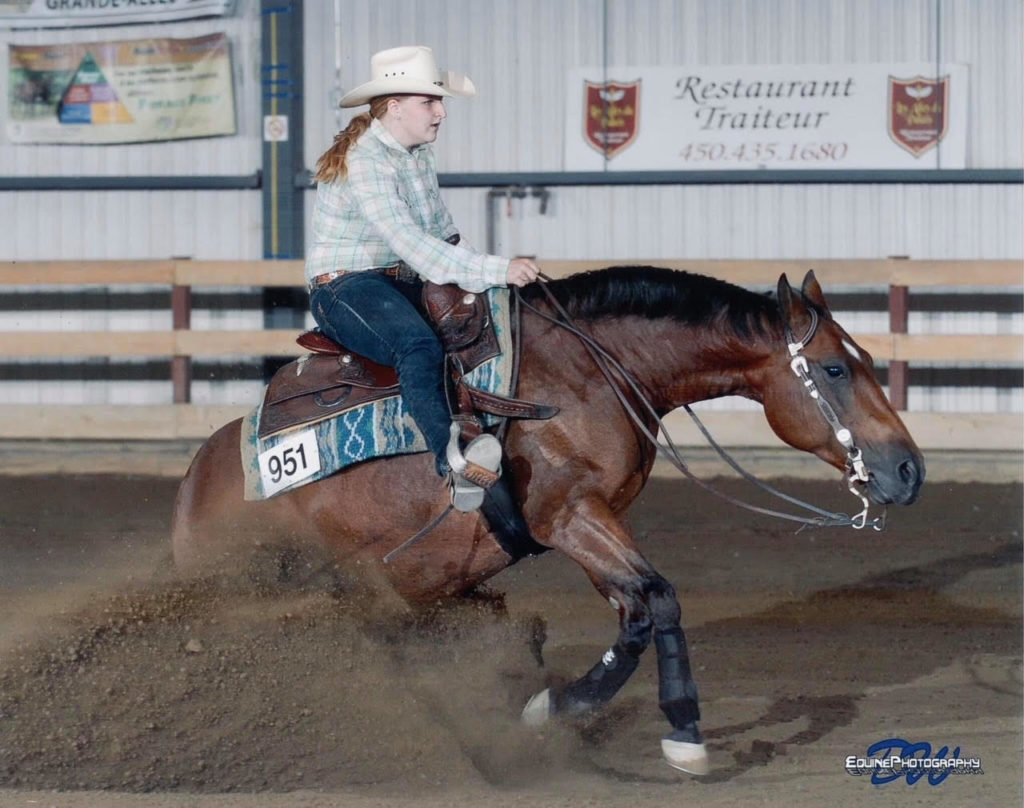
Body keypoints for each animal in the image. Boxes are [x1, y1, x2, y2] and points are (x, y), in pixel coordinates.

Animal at [172, 266, 925, 774]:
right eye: (834, 369)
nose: (910, 470)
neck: (582, 374)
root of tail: (197, 480)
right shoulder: (569, 516)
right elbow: (658, 598)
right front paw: (636, 724)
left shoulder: (599, 522)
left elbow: (642, 610)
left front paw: (660, 726)